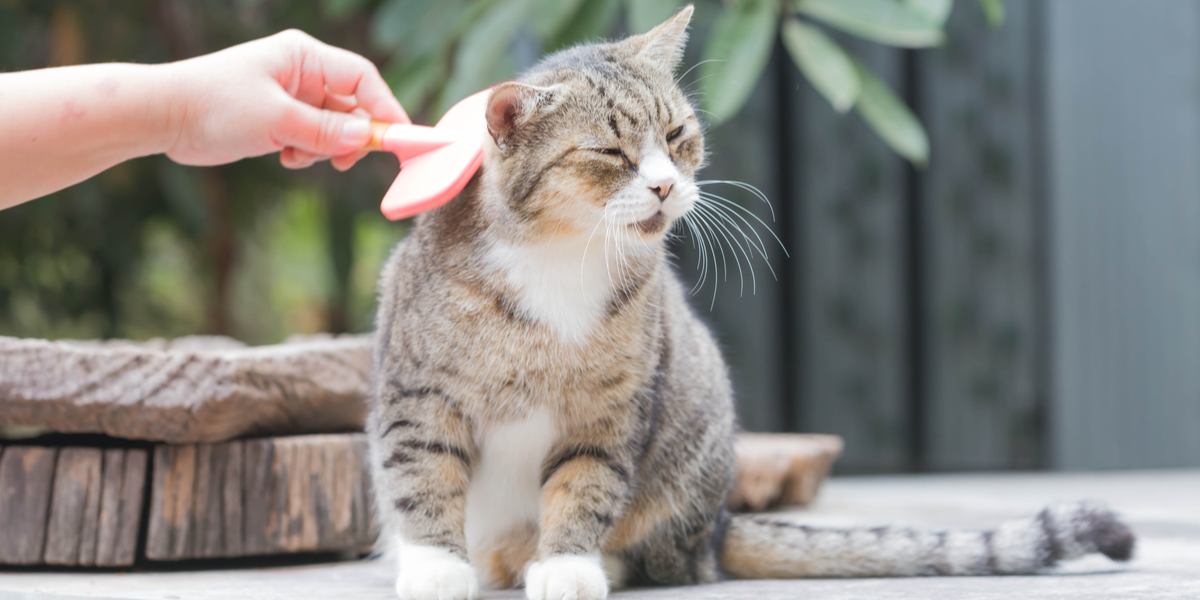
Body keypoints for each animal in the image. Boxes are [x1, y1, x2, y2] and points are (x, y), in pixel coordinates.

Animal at [369, 5, 1137, 600]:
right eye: (611, 153)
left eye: (676, 136)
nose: (663, 185)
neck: (563, 256)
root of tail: (719, 526)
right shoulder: (417, 391)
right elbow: (422, 474)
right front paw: (436, 568)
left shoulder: (611, 410)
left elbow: (585, 485)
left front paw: (567, 566)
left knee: (674, 559)